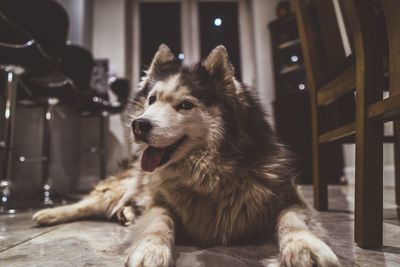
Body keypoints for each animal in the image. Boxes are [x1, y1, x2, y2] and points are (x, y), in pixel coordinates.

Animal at [33, 45, 340, 266]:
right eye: (152, 100)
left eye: (185, 105)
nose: (138, 125)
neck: (208, 173)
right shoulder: (160, 201)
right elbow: (159, 221)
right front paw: (150, 248)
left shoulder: (288, 197)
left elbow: (293, 220)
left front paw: (305, 246)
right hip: (125, 186)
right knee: (88, 203)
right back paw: (48, 213)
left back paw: (126, 213)